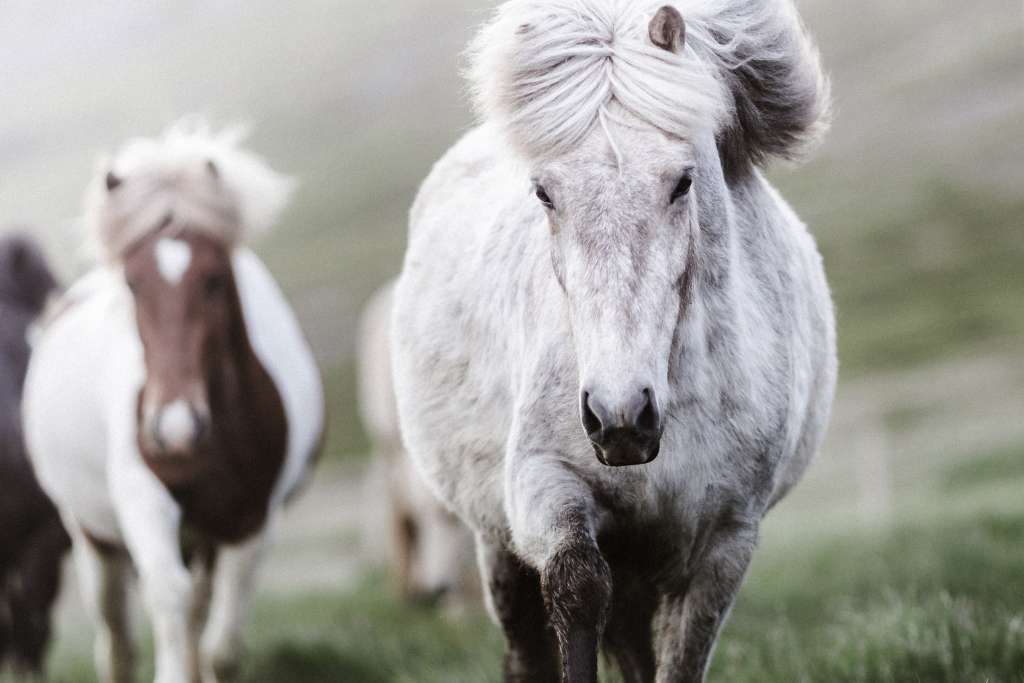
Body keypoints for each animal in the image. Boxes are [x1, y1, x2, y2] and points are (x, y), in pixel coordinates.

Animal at [22, 122, 325, 683]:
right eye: (133, 282)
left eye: (214, 278)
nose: (175, 430)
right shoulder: (144, 497)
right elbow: (168, 597)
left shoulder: (254, 518)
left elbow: (221, 643)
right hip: (93, 536)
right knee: (115, 632)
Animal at [391, 0, 836, 680]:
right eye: (545, 192)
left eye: (682, 183)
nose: (619, 416)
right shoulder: (546, 489)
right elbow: (577, 592)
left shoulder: (725, 541)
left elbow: (681, 658)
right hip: (499, 544)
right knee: (527, 647)